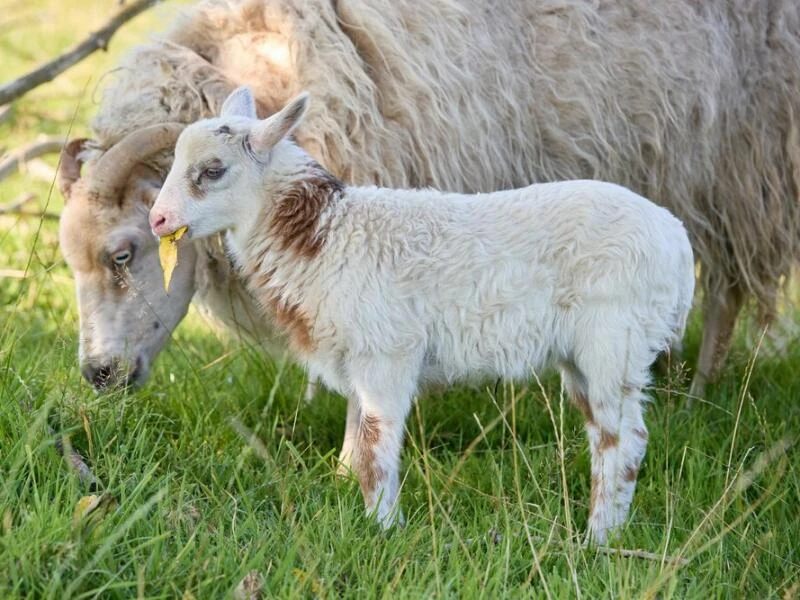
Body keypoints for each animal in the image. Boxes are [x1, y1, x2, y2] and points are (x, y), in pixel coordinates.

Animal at [148, 89, 692, 544]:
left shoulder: (387, 354)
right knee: (607, 435)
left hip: (615, 338)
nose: (157, 219)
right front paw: (359, 512)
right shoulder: (357, 359)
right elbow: (357, 446)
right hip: (586, 353)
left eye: (213, 170)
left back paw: (599, 541)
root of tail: (677, 241)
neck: (324, 237)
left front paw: (384, 529)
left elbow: (375, 451)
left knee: (624, 441)